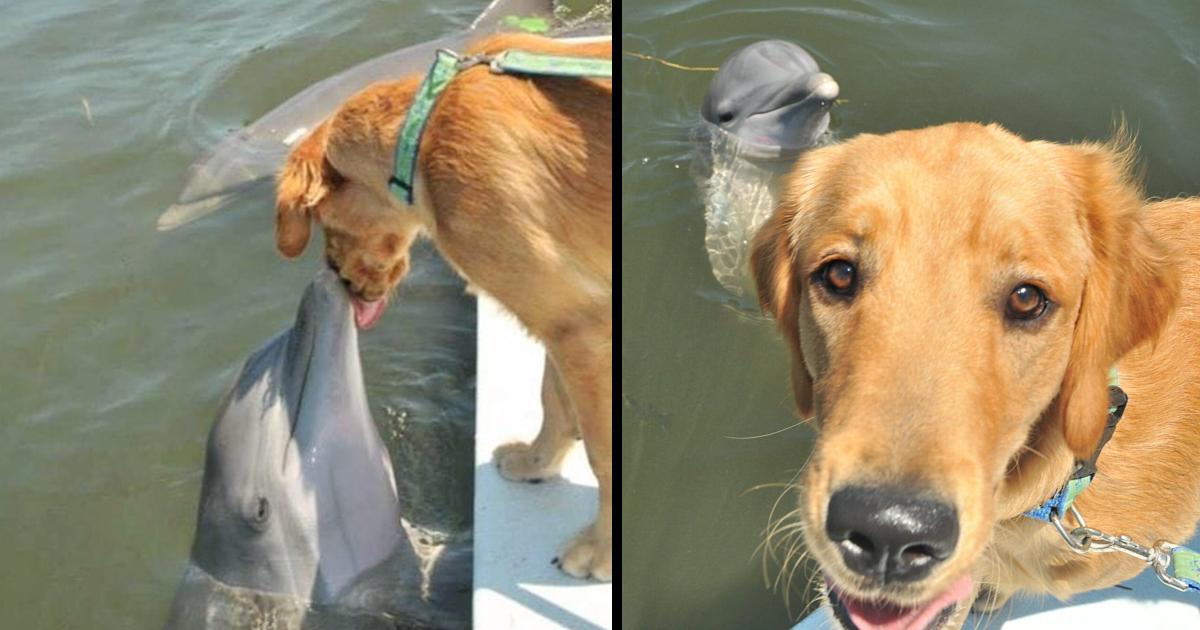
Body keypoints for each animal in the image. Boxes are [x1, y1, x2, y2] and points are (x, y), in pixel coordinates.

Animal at [272, 34, 609, 583]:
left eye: (324, 222)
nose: (339, 278)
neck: (423, 135)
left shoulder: (582, 328)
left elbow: (603, 451)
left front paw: (600, 549)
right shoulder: (564, 316)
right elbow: (553, 400)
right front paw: (536, 464)